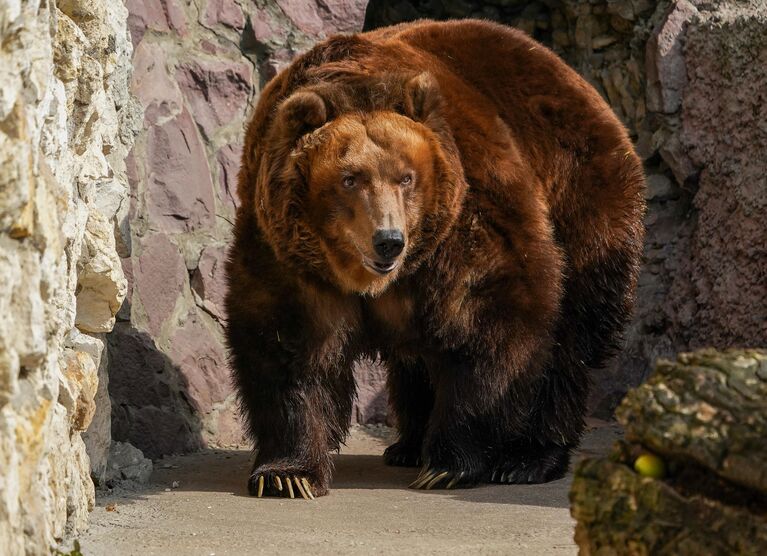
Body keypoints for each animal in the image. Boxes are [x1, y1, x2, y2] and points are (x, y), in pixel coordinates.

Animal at [225, 19, 644, 500]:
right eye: (350, 179)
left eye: (406, 177)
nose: (389, 241)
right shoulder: (289, 255)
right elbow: (290, 349)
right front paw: (287, 473)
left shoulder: (464, 219)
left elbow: (486, 321)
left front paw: (450, 465)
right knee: (415, 358)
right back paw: (407, 445)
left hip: (580, 199)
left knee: (569, 338)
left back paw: (528, 458)